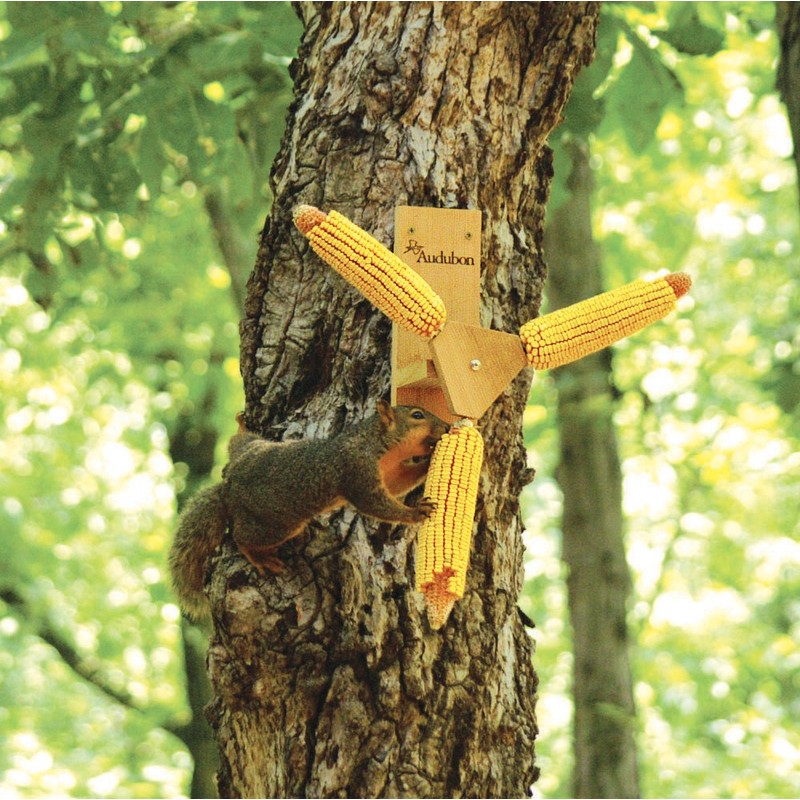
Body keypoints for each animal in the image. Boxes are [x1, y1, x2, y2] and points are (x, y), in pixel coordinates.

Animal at [169, 399, 449, 620]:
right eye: (417, 415)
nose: (447, 427)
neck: (377, 442)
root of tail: (229, 488)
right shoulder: (356, 469)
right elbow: (375, 503)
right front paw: (415, 512)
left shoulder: (389, 472)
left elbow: (399, 483)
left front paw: (430, 460)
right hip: (276, 525)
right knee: (242, 537)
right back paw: (260, 558)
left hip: (251, 449)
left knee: (238, 441)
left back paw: (242, 426)